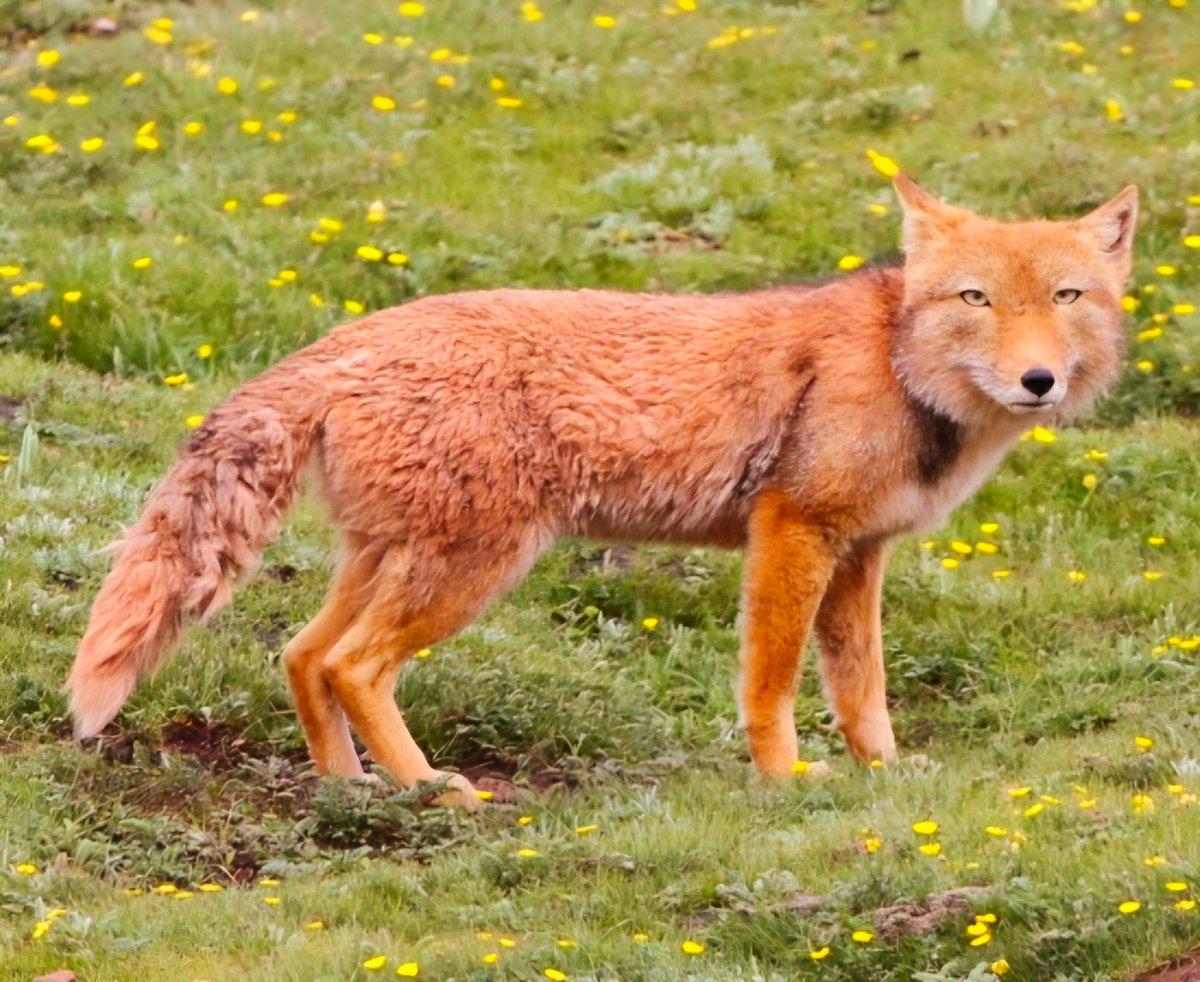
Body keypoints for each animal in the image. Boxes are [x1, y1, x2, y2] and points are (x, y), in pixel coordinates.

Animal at [67, 176, 1137, 809]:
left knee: (301, 656)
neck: (898, 364)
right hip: (471, 570)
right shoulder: (793, 532)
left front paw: (884, 775)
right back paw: (434, 790)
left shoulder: (861, 551)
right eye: (976, 299)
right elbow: (773, 684)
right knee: (353, 667)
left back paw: (358, 794)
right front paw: (784, 781)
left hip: (390, 561)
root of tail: (339, 344)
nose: (1038, 380)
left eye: (1067, 298)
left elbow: (862, 688)